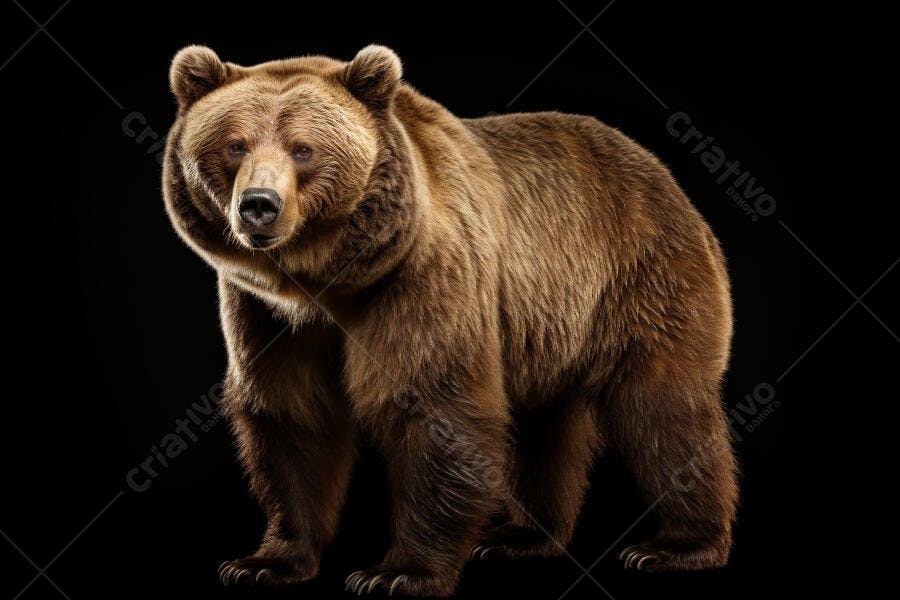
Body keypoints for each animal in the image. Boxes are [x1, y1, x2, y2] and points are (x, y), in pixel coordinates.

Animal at [162, 44, 738, 597]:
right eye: (235, 145)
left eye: (303, 149)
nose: (259, 204)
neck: (325, 284)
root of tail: (662, 175)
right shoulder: (266, 314)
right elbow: (292, 414)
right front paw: (265, 562)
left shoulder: (425, 276)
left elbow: (435, 404)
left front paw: (398, 572)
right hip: (551, 321)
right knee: (545, 424)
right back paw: (522, 536)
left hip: (641, 278)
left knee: (661, 408)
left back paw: (677, 545)